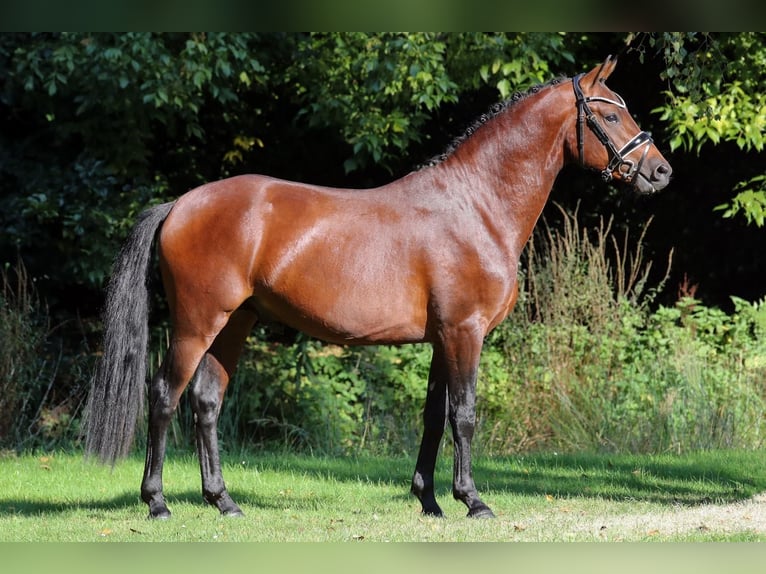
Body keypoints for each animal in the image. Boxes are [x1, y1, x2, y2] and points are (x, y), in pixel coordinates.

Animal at [84, 56, 672, 520]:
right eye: (610, 114)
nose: (660, 171)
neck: (476, 205)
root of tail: (181, 204)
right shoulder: (465, 333)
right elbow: (464, 415)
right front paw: (474, 501)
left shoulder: (443, 338)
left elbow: (434, 417)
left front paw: (430, 501)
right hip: (196, 323)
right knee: (165, 396)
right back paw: (157, 502)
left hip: (235, 323)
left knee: (207, 401)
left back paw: (223, 501)